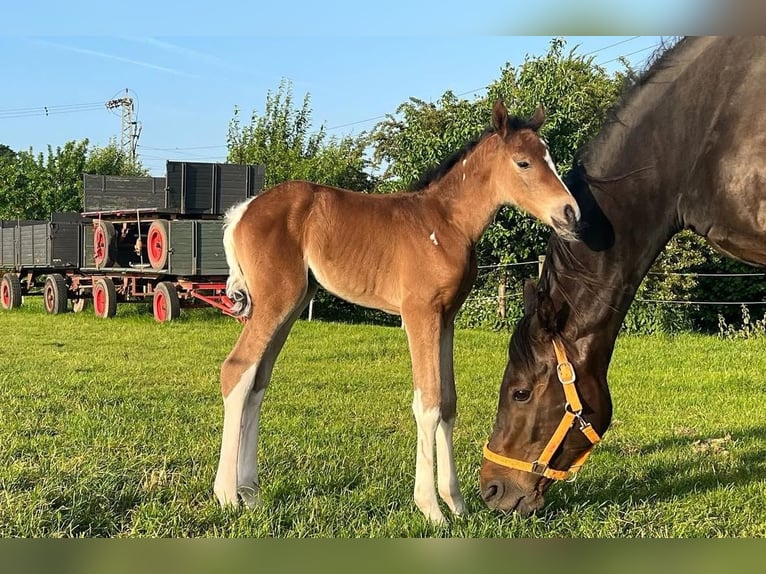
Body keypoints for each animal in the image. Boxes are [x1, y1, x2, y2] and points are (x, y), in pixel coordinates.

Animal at [214, 100, 581, 524]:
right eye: (524, 162)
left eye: (549, 157)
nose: (570, 213)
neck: (447, 223)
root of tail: (242, 212)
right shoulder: (420, 313)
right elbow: (429, 402)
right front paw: (431, 508)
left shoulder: (447, 317)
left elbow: (449, 402)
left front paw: (456, 503)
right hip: (276, 301)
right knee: (236, 369)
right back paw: (227, 495)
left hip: (292, 304)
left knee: (256, 382)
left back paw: (251, 494)